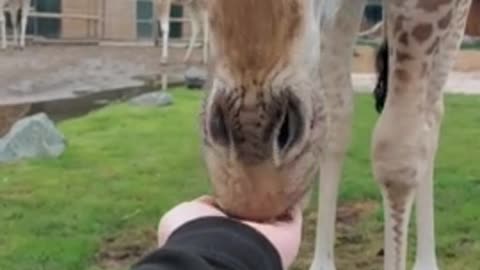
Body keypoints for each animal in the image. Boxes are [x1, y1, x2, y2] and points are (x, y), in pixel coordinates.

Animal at [200, 0, 472, 270]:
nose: (253, 194)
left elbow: (396, 158)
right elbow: (336, 118)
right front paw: (322, 264)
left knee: (431, 112)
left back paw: (426, 263)